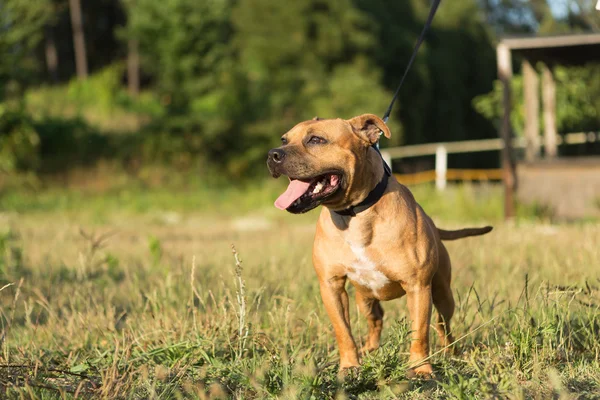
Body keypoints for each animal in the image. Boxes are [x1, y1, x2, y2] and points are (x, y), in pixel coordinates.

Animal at [268, 114, 492, 376]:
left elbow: (419, 332)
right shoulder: (331, 286)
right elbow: (343, 332)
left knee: (442, 324)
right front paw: (349, 366)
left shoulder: (418, 287)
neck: (355, 214)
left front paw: (420, 369)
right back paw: (370, 350)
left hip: (442, 292)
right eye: (284, 139)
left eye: (316, 140)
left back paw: (450, 352)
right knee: (376, 319)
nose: (273, 154)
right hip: (364, 297)